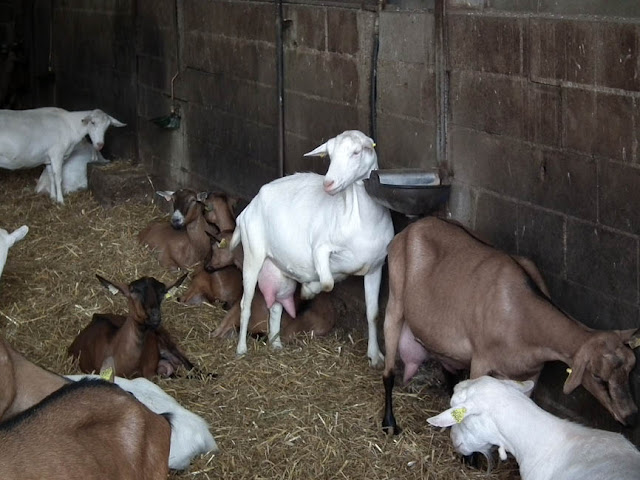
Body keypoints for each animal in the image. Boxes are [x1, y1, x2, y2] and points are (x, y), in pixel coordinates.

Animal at [228, 129, 392, 366]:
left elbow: (373, 314)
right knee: (245, 303)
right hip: (253, 253)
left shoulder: (376, 267)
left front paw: (375, 356)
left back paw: (276, 344)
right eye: (330, 156)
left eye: (357, 152)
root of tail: (249, 207)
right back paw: (241, 349)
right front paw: (308, 290)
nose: (328, 183)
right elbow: (328, 282)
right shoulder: (320, 249)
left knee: (275, 306)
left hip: (278, 270)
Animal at [382, 216, 636, 434]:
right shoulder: (481, 361)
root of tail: (417, 224)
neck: (523, 315)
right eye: (598, 377)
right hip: (395, 301)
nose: (630, 416)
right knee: (389, 370)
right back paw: (389, 424)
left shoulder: (530, 374)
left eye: (631, 368)